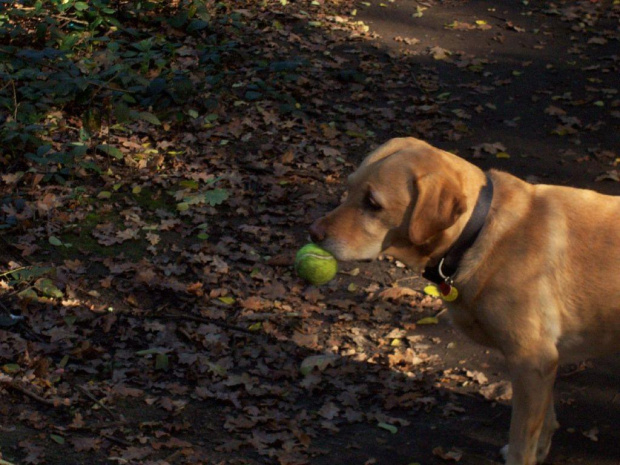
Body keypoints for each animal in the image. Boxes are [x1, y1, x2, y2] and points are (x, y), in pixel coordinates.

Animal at [308, 137, 620, 464]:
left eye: (372, 203)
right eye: (349, 188)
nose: (312, 232)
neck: (476, 232)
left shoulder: (532, 360)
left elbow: (522, 439)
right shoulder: (541, 364)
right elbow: (545, 420)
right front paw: (541, 449)